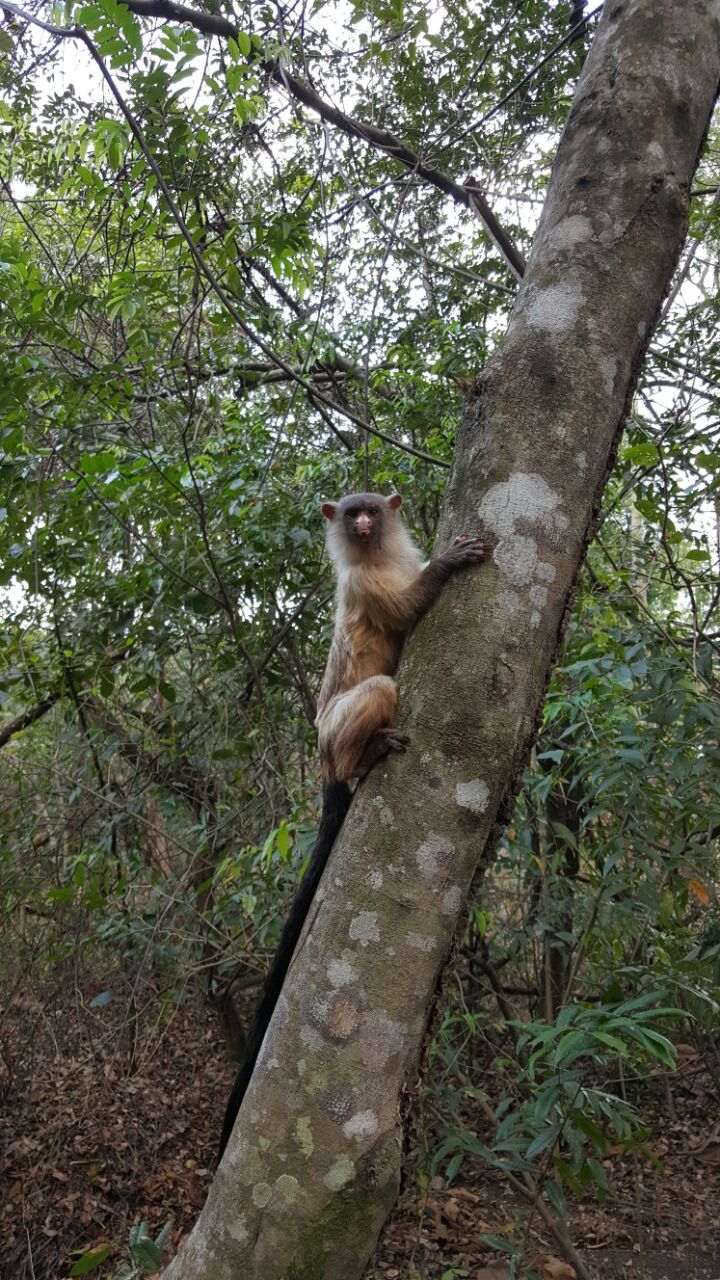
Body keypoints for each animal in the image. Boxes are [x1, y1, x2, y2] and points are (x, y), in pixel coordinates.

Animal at [215, 488, 484, 1162]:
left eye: (372, 512)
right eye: (352, 513)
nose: (361, 523)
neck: (374, 555)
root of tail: (323, 761)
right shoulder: (360, 585)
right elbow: (407, 610)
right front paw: (448, 564)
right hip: (335, 729)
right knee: (381, 688)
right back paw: (364, 758)